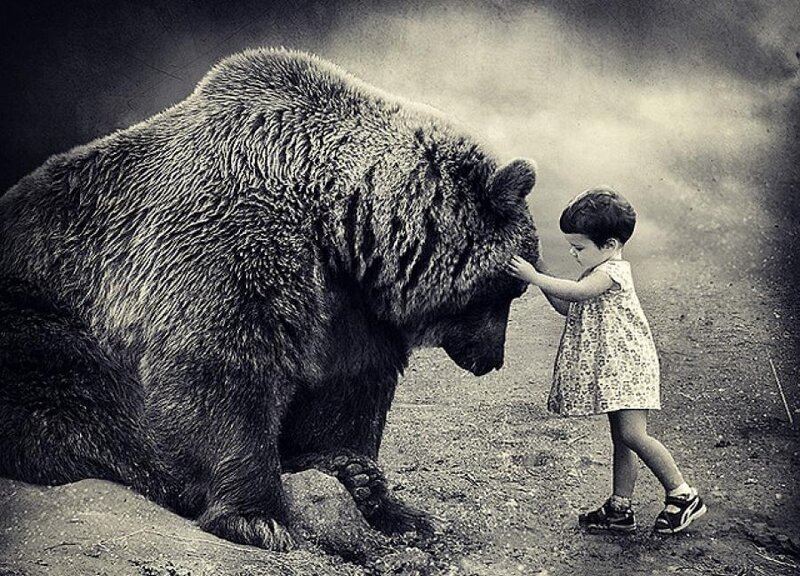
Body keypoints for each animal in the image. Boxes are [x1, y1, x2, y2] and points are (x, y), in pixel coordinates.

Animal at [0, 47, 539, 551]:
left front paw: (376, 492)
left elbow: (349, 389)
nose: (492, 359)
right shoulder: (228, 237)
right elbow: (223, 367)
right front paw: (258, 517)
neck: (336, 219)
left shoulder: (349, 303)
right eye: (512, 288)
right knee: (86, 397)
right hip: (43, 312)